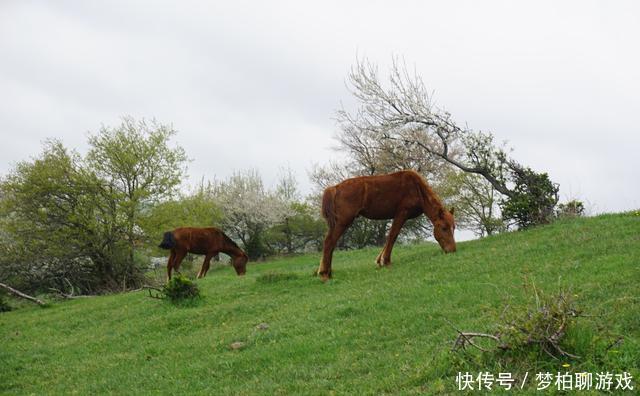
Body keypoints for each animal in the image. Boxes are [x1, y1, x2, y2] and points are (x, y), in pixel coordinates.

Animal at [318, 169, 458, 280]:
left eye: (453, 228)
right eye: (444, 228)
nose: (452, 250)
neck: (416, 189)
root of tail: (335, 188)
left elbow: (389, 237)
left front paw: (379, 261)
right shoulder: (401, 214)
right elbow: (393, 236)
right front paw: (386, 261)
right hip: (343, 221)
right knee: (329, 242)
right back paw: (325, 274)